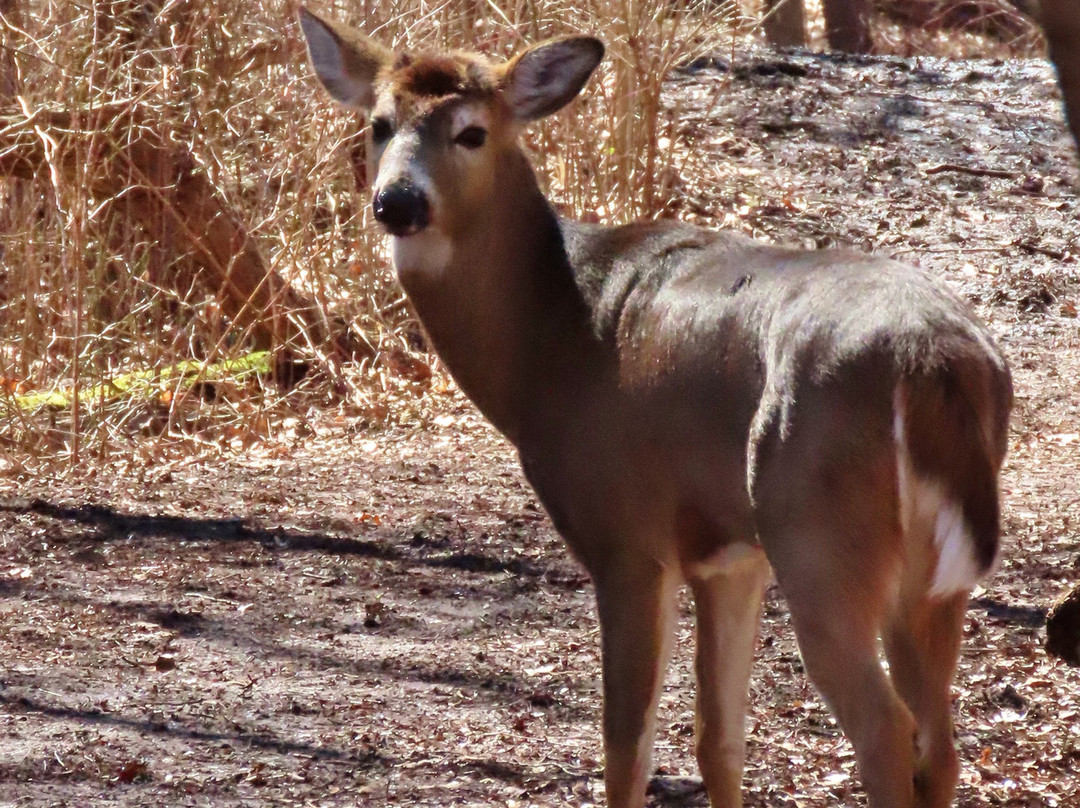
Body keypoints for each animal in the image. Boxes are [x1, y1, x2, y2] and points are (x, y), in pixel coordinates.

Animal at [295, 7, 1010, 808]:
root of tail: (937, 361)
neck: (551, 338)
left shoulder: (627, 533)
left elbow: (625, 745)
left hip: (820, 534)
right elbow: (718, 741)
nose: (398, 202)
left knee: (886, 729)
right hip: (927, 572)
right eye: (380, 124)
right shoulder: (730, 557)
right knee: (938, 744)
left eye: (471, 132)